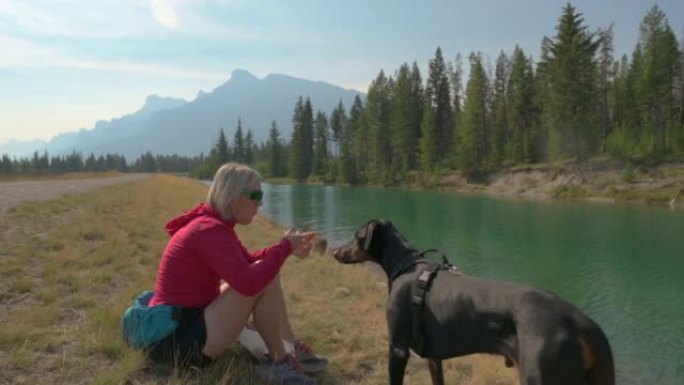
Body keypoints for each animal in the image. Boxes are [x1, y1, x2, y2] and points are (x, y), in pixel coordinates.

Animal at [332, 219, 616, 384]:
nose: (334, 251)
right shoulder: (433, 357)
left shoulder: (398, 348)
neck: (406, 266)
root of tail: (582, 322)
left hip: (541, 375)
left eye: (356, 235)